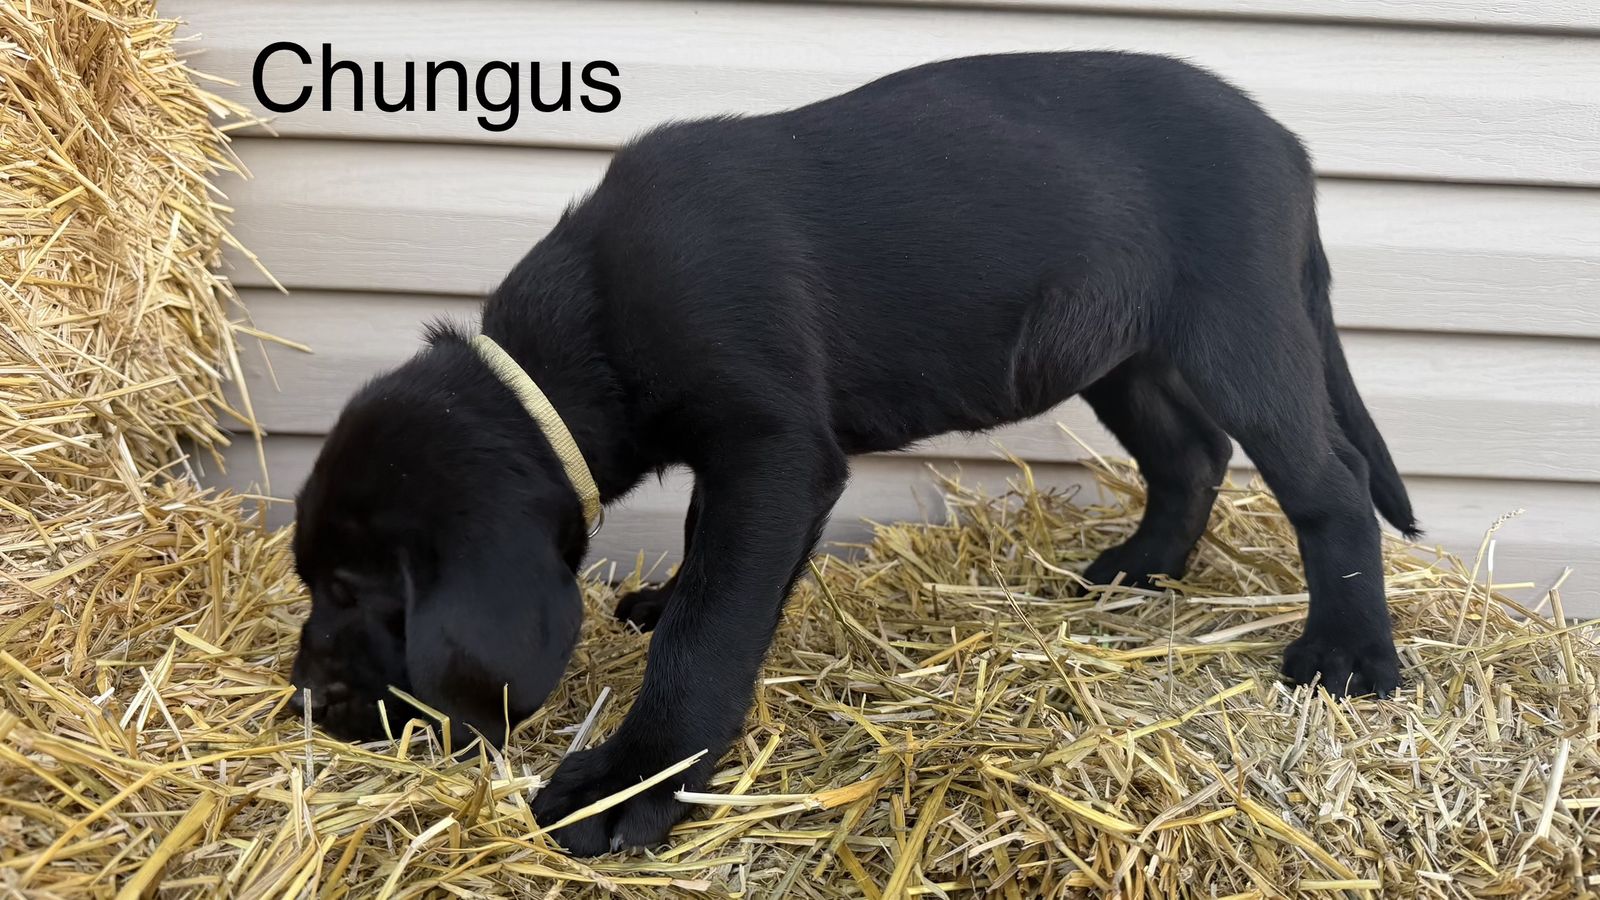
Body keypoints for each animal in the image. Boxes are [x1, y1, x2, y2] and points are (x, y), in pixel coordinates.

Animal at [287, 51, 1416, 855]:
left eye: (354, 589)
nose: (306, 697)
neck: (586, 326)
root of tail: (1290, 148)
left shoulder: (774, 447)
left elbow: (711, 627)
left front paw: (635, 782)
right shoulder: (759, 462)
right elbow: (711, 563)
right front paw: (666, 610)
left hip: (1236, 325)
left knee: (1330, 482)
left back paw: (1350, 655)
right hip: (1116, 347)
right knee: (1190, 453)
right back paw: (1139, 572)